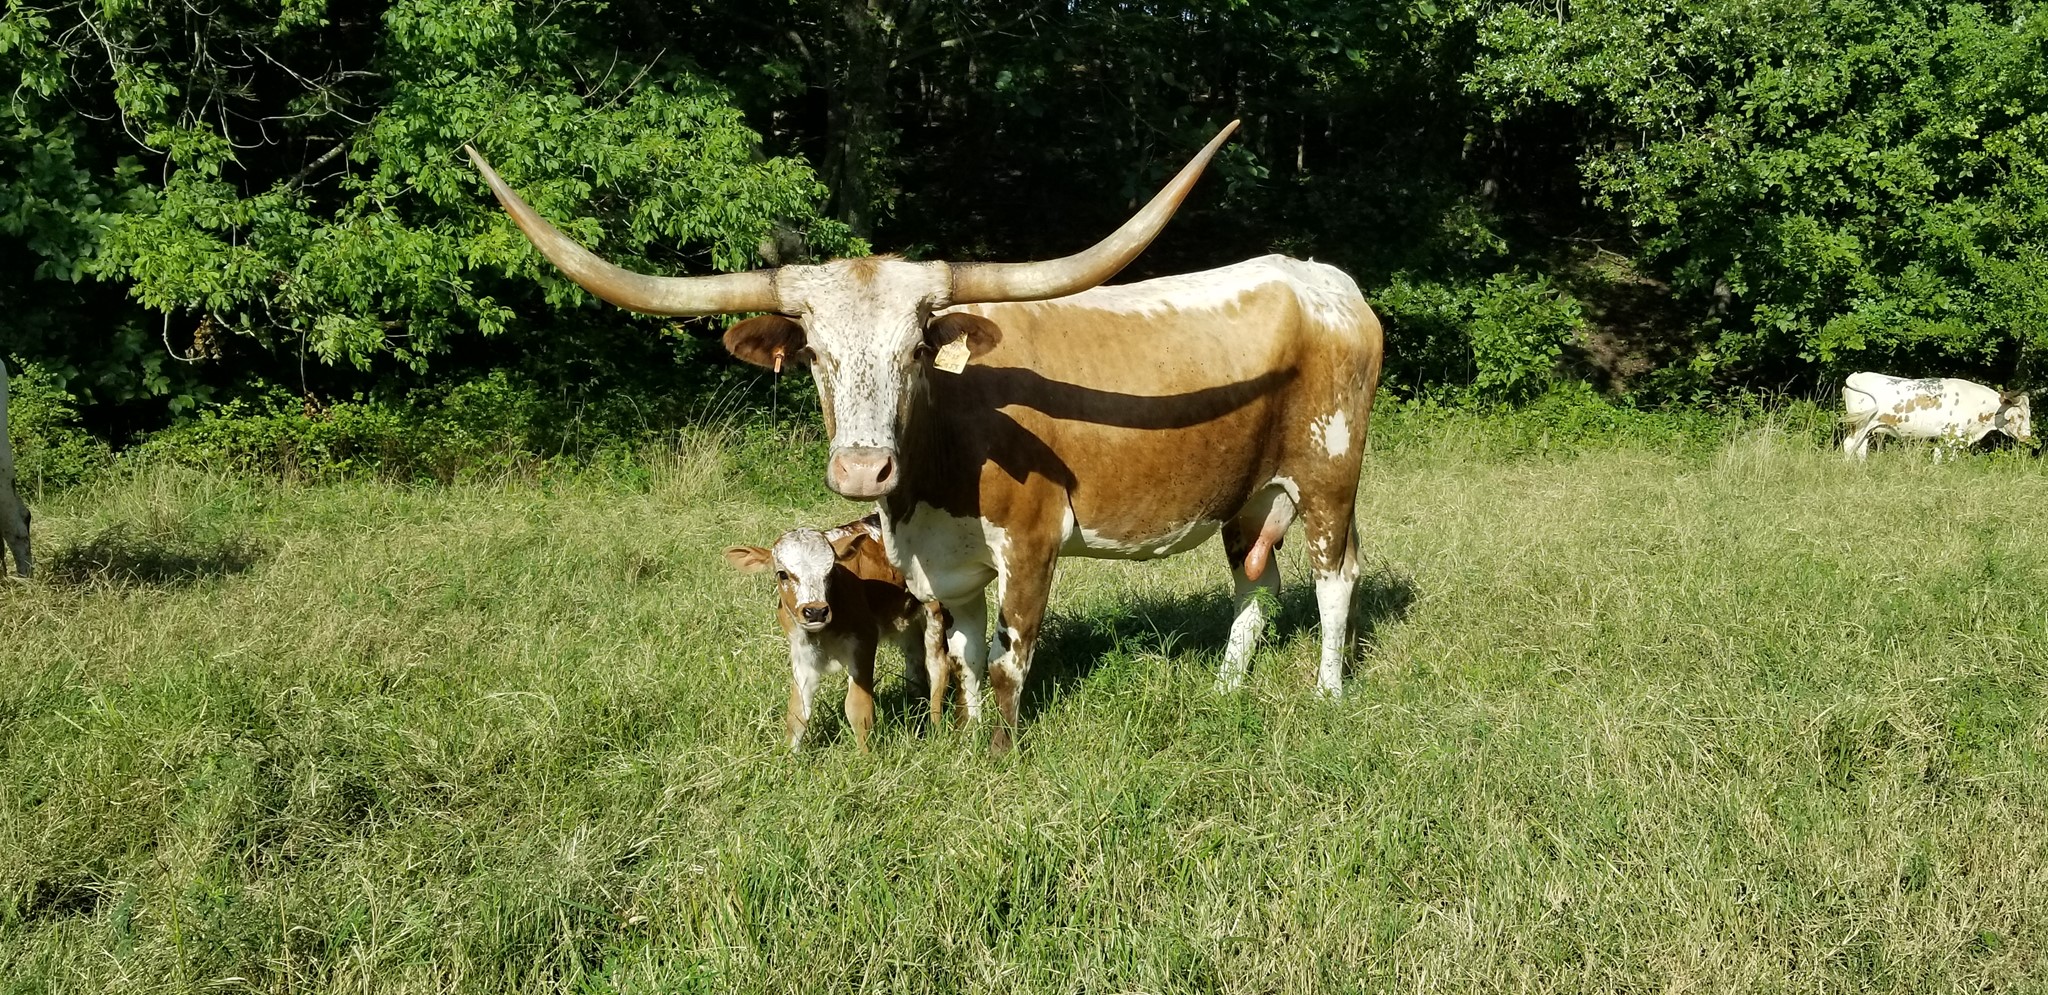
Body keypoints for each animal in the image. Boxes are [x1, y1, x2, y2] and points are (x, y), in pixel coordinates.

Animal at [725, 514, 953, 750]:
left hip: (934, 610)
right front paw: (788, 755)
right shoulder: (801, 651)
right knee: (915, 665)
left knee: (938, 666)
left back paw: (935, 727)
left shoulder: (864, 640)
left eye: (830, 571)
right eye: (783, 574)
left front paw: (865, 755)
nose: (816, 611)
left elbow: (858, 708)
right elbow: (797, 712)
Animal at [1842, 372, 2032, 461]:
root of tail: (1857, 375)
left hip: (1867, 429)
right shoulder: (1952, 436)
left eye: (2029, 414)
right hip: (1860, 425)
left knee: (1860, 449)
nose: (2027, 436)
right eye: (2020, 414)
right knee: (1849, 445)